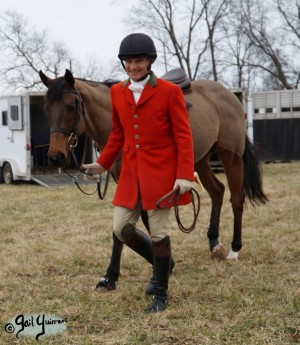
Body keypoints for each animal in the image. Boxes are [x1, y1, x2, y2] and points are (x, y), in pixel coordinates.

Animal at [39, 68, 268, 288]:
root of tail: (229, 96)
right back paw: (214, 243)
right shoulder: (126, 182)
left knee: (236, 199)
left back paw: (234, 249)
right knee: (217, 192)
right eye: (46, 109)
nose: (56, 156)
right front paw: (112, 276)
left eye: (70, 106)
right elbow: (126, 227)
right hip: (199, 160)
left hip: (231, 156)